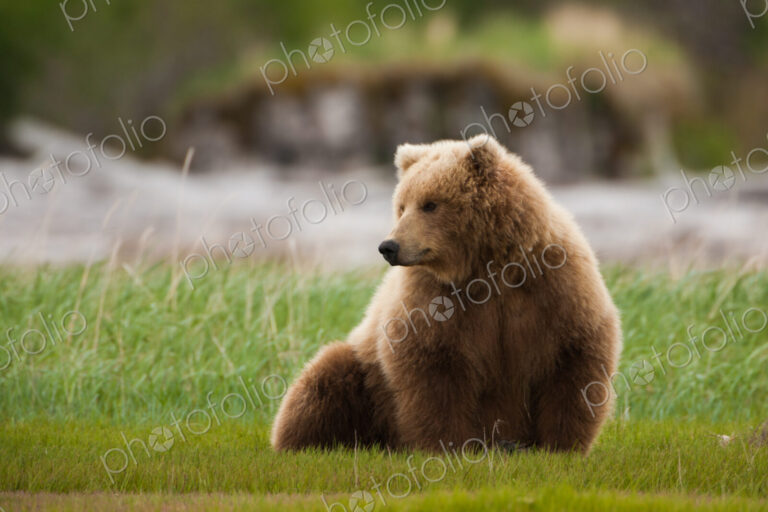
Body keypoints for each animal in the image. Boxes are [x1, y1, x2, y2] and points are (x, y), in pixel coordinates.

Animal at [271, 135, 622, 454]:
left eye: (430, 204)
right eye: (402, 206)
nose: (389, 247)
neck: (487, 267)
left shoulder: (554, 284)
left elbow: (574, 357)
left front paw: (561, 444)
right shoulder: (433, 299)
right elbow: (433, 368)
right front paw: (447, 444)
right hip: (365, 371)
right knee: (324, 379)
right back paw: (304, 442)